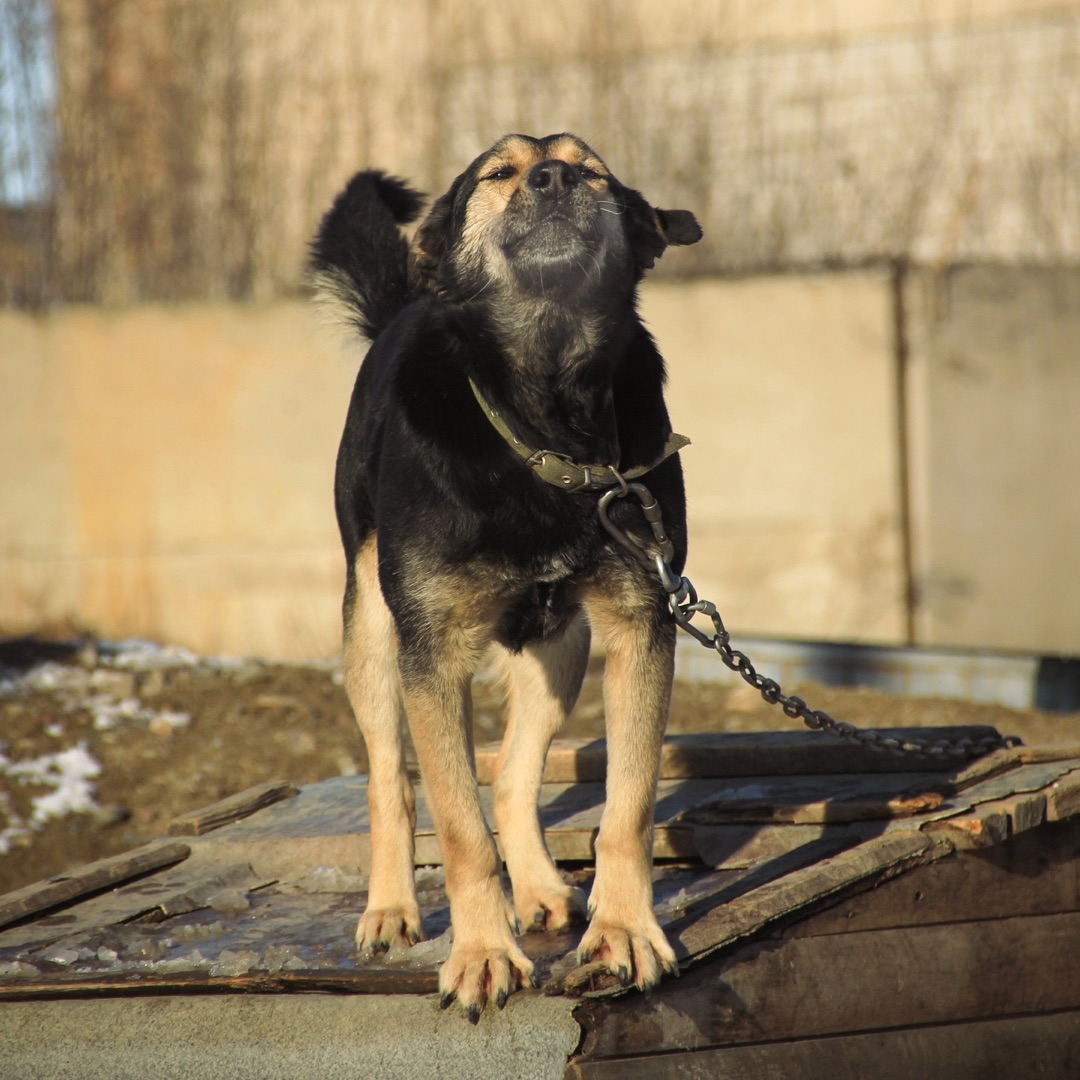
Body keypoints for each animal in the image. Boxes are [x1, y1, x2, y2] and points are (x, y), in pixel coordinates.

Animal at [309, 133, 702, 1019]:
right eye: (500, 173)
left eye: (589, 170)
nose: (553, 180)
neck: (546, 419)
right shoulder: (431, 655)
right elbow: (458, 830)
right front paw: (483, 952)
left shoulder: (639, 623)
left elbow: (626, 809)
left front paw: (623, 932)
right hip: (373, 631)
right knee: (391, 778)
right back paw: (391, 908)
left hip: (559, 644)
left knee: (516, 778)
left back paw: (542, 888)